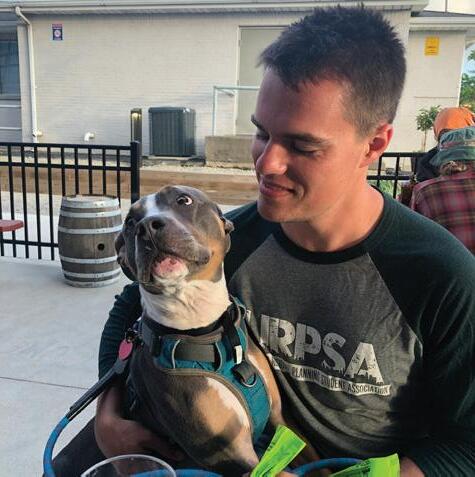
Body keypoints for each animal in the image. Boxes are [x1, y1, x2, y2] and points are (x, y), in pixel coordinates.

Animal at [115, 185, 296, 475]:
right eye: (130, 222)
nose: (146, 227)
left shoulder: (280, 417)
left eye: (183, 200)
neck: (204, 330)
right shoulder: (231, 453)